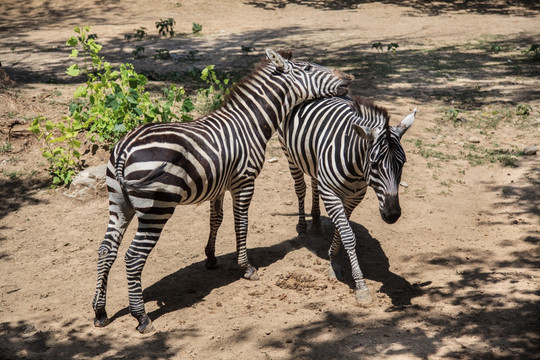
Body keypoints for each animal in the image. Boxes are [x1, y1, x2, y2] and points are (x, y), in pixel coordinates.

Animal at [93, 49, 354, 334]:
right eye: (307, 67)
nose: (349, 78)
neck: (250, 123)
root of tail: (126, 148)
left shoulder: (217, 185)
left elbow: (216, 219)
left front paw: (211, 257)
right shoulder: (244, 181)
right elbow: (241, 223)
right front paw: (246, 267)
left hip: (119, 203)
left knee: (106, 249)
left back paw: (100, 312)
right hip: (156, 209)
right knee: (133, 257)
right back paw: (141, 317)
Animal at [276, 94, 416, 302]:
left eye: (403, 163)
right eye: (374, 164)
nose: (392, 215)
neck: (356, 165)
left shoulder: (354, 197)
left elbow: (341, 230)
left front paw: (333, 260)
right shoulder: (331, 194)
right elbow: (348, 235)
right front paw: (361, 286)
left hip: (313, 161)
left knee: (314, 183)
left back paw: (316, 222)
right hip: (289, 154)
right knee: (300, 188)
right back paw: (302, 226)